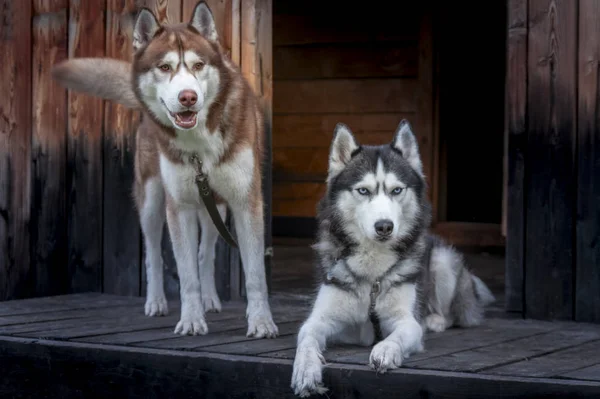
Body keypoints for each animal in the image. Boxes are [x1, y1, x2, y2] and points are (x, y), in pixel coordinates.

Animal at [52, 1, 278, 340]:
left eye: (198, 65)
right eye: (164, 67)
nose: (188, 97)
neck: (199, 144)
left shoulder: (245, 202)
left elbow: (254, 273)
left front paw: (261, 321)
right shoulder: (179, 207)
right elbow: (186, 276)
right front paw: (191, 320)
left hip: (217, 207)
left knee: (205, 253)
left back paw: (211, 299)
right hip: (151, 202)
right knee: (153, 256)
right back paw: (156, 301)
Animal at [290, 121, 492, 396]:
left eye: (396, 190)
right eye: (363, 190)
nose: (384, 226)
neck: (372, 268)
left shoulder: (406, 321)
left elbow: (399, 335)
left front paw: (385, 349)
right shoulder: (320, 319)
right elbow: (306, 339)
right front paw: (305, 369)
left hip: (443, 261)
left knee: (451, 313)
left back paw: (435, 320)